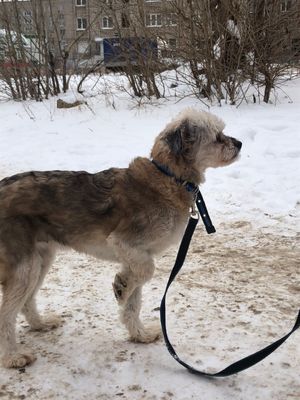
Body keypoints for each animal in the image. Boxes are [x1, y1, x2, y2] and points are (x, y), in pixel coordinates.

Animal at [0, 108, 241, 368]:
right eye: (217, 136)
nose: (239, 143)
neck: (168, 178)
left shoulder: (135, 254)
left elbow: (133, 302)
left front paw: (139, 333)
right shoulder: (125, 243)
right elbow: (146, 271)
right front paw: (121, 287)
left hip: (41, 260)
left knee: (26, 301)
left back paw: (40, 324)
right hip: (25, 267)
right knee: (6, 313)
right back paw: (13, 356)